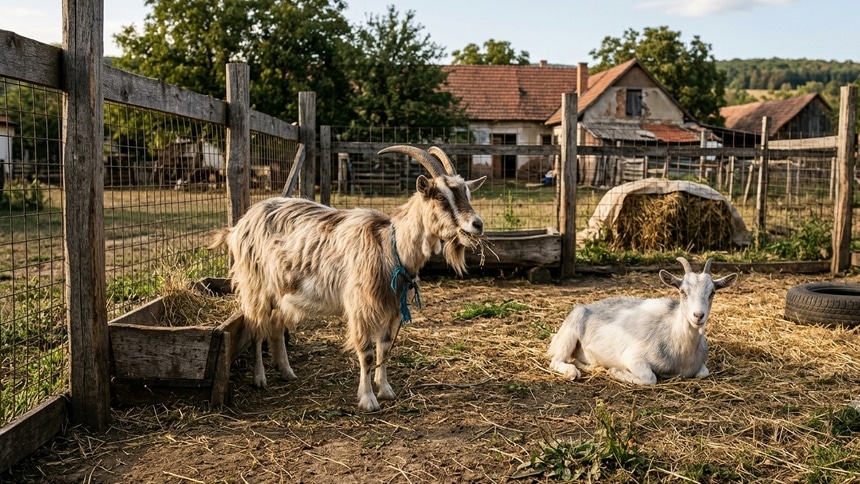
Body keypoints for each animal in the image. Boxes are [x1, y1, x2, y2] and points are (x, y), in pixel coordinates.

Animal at [209, 145, 486, 411]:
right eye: (440, 197)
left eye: (467, 194)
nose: (477, 224)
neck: (389, 245)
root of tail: (238, 226)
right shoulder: (361, 306)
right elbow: (367, 354)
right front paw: (368, 399)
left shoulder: (392, 307)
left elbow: (384, 347)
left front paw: (386, 390)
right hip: (255, 285)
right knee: (256, 328)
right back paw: (260, 378)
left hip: (282, 289)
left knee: (275, 325)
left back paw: (287, 371)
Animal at [547, 257, 737, 385]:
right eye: (683, 291)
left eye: (712, 292)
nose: (698, 315)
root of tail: (586, 306)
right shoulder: (633, 357)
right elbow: (650, 378)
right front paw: (616, 371)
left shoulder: (700, 366)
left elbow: (704, 372)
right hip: (569, 334)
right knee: (556, 360)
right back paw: (572, 371)